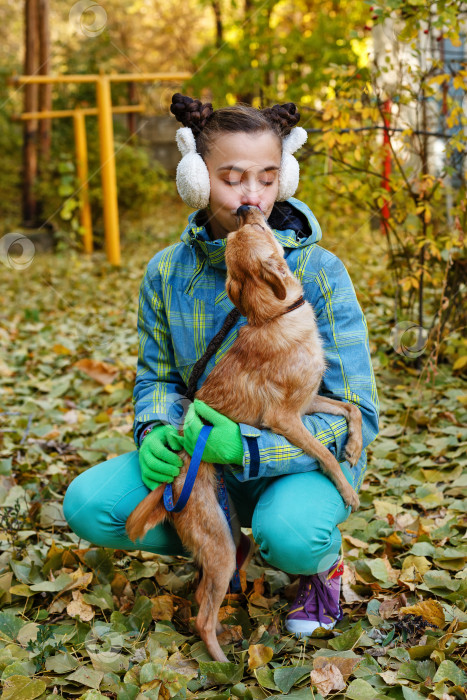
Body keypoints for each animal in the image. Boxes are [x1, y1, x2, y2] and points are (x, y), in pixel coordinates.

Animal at [126, 206, 364, 660]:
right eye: (254, 229)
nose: (244, 209)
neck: (275, 317)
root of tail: (174, 479)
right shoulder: (285, 420)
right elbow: (324, 455)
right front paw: (346, 490)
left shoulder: (309, 403)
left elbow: (351, 409)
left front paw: (355, 446)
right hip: (220, 548)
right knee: (202, 616)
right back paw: (223, 664)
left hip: (236, 540)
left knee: (202, 598)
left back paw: (228, 634)